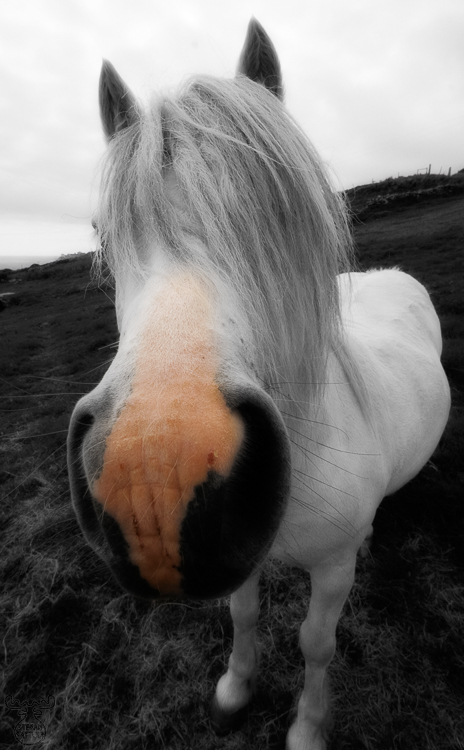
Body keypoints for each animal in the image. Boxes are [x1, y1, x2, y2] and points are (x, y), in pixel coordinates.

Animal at [67, 19, 451, 750]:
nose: (155, 483)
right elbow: (242, 618)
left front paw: (307, 727)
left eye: (280, 210)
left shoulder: (331, 570)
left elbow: (316, 643)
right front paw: (234, 689)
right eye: (105, 232)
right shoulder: (235, 557)